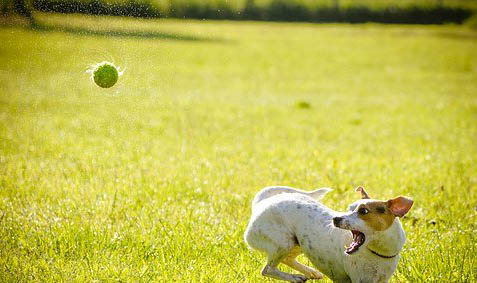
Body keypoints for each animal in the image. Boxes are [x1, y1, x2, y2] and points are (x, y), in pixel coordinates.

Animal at [244, 186, 410, 283]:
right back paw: (295, 277)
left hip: (298, 243)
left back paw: (311, 272)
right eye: (349, 208)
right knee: (267, 269)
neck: (378, 252)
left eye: (363, 211)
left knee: (287, 259)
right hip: (283, 243)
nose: (336, 218)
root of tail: (261, 204)